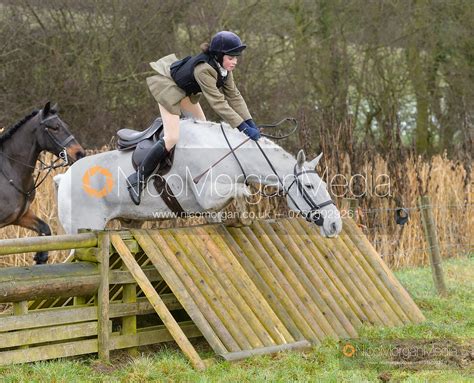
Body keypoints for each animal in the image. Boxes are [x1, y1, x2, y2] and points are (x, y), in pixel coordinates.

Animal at [0, 102, 85, 264]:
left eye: (64, 125)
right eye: (55, 127)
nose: (80, 153)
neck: (11, 170)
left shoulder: (21, 216)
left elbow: (45, 230)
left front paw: (41, 257)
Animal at [55, 118, 340, 237]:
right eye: (309, 186)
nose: (335, 225)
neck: (226, 152)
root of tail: (63, 177)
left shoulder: (212, 208)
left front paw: (242, 216)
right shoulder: (207, 196)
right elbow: (240, 189)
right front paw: (245, 208)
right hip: (83, 228)